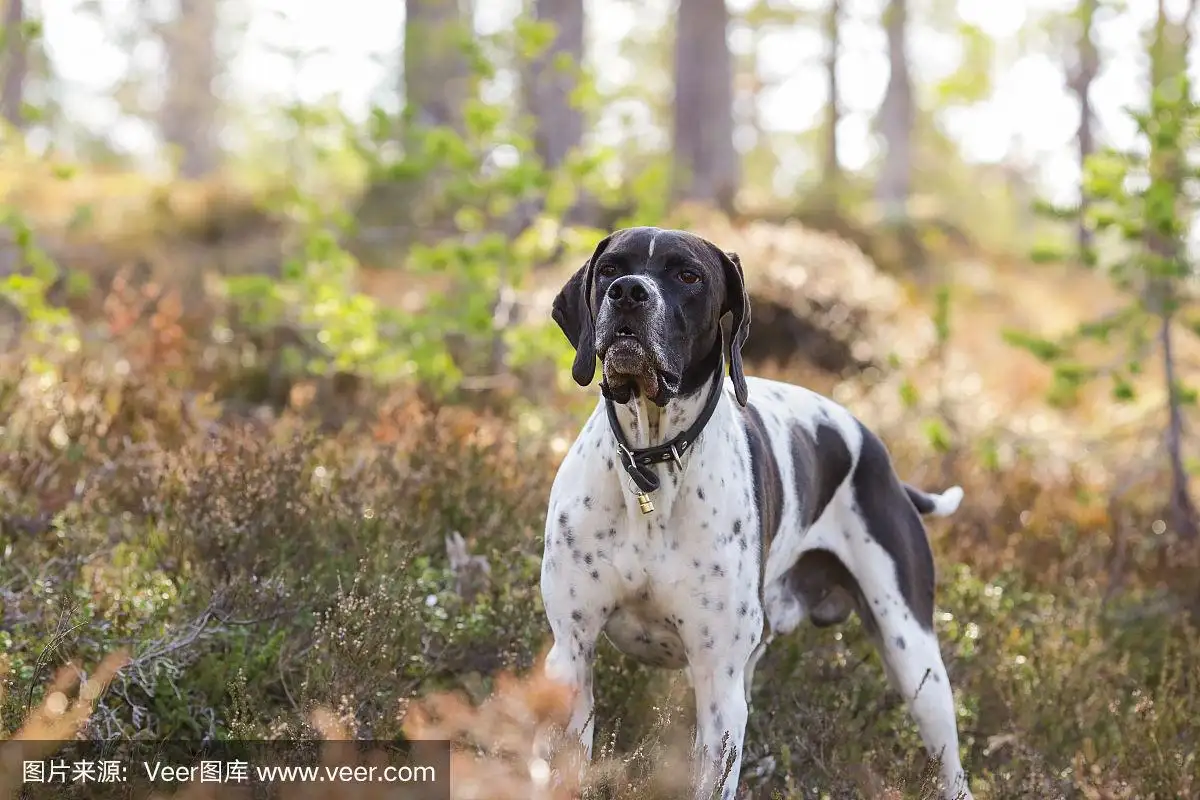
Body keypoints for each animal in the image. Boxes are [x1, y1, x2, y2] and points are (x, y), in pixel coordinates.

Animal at [544, 226, 974, 800]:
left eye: (688, 275)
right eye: (611, 268)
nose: (629, 292)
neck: (652, 463)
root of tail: (878, 453)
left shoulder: (717, 684)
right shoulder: (572, 652)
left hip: (915, 660)